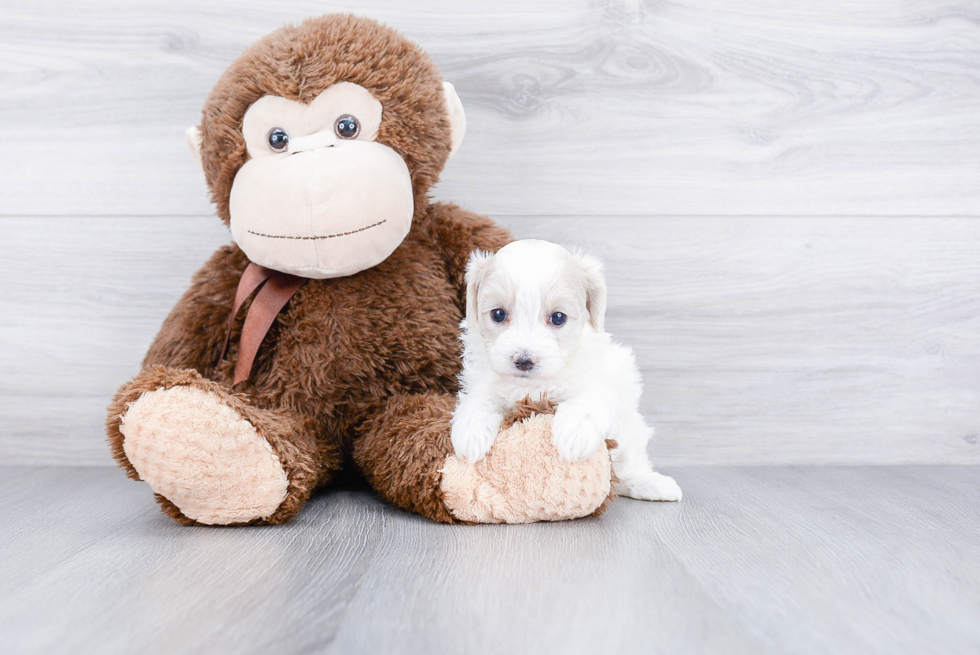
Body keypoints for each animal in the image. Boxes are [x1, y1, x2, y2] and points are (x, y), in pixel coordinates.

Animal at [452, 240, 680, 502]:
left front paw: (575, 433)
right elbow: (480, 398)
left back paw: (652, 484)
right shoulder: (486, 379)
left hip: (631, 434)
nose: (524, 360)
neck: (533, 386)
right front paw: (470, 432)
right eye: (498, 314)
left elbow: (589, 398)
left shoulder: (605, 375)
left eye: (558, 318)